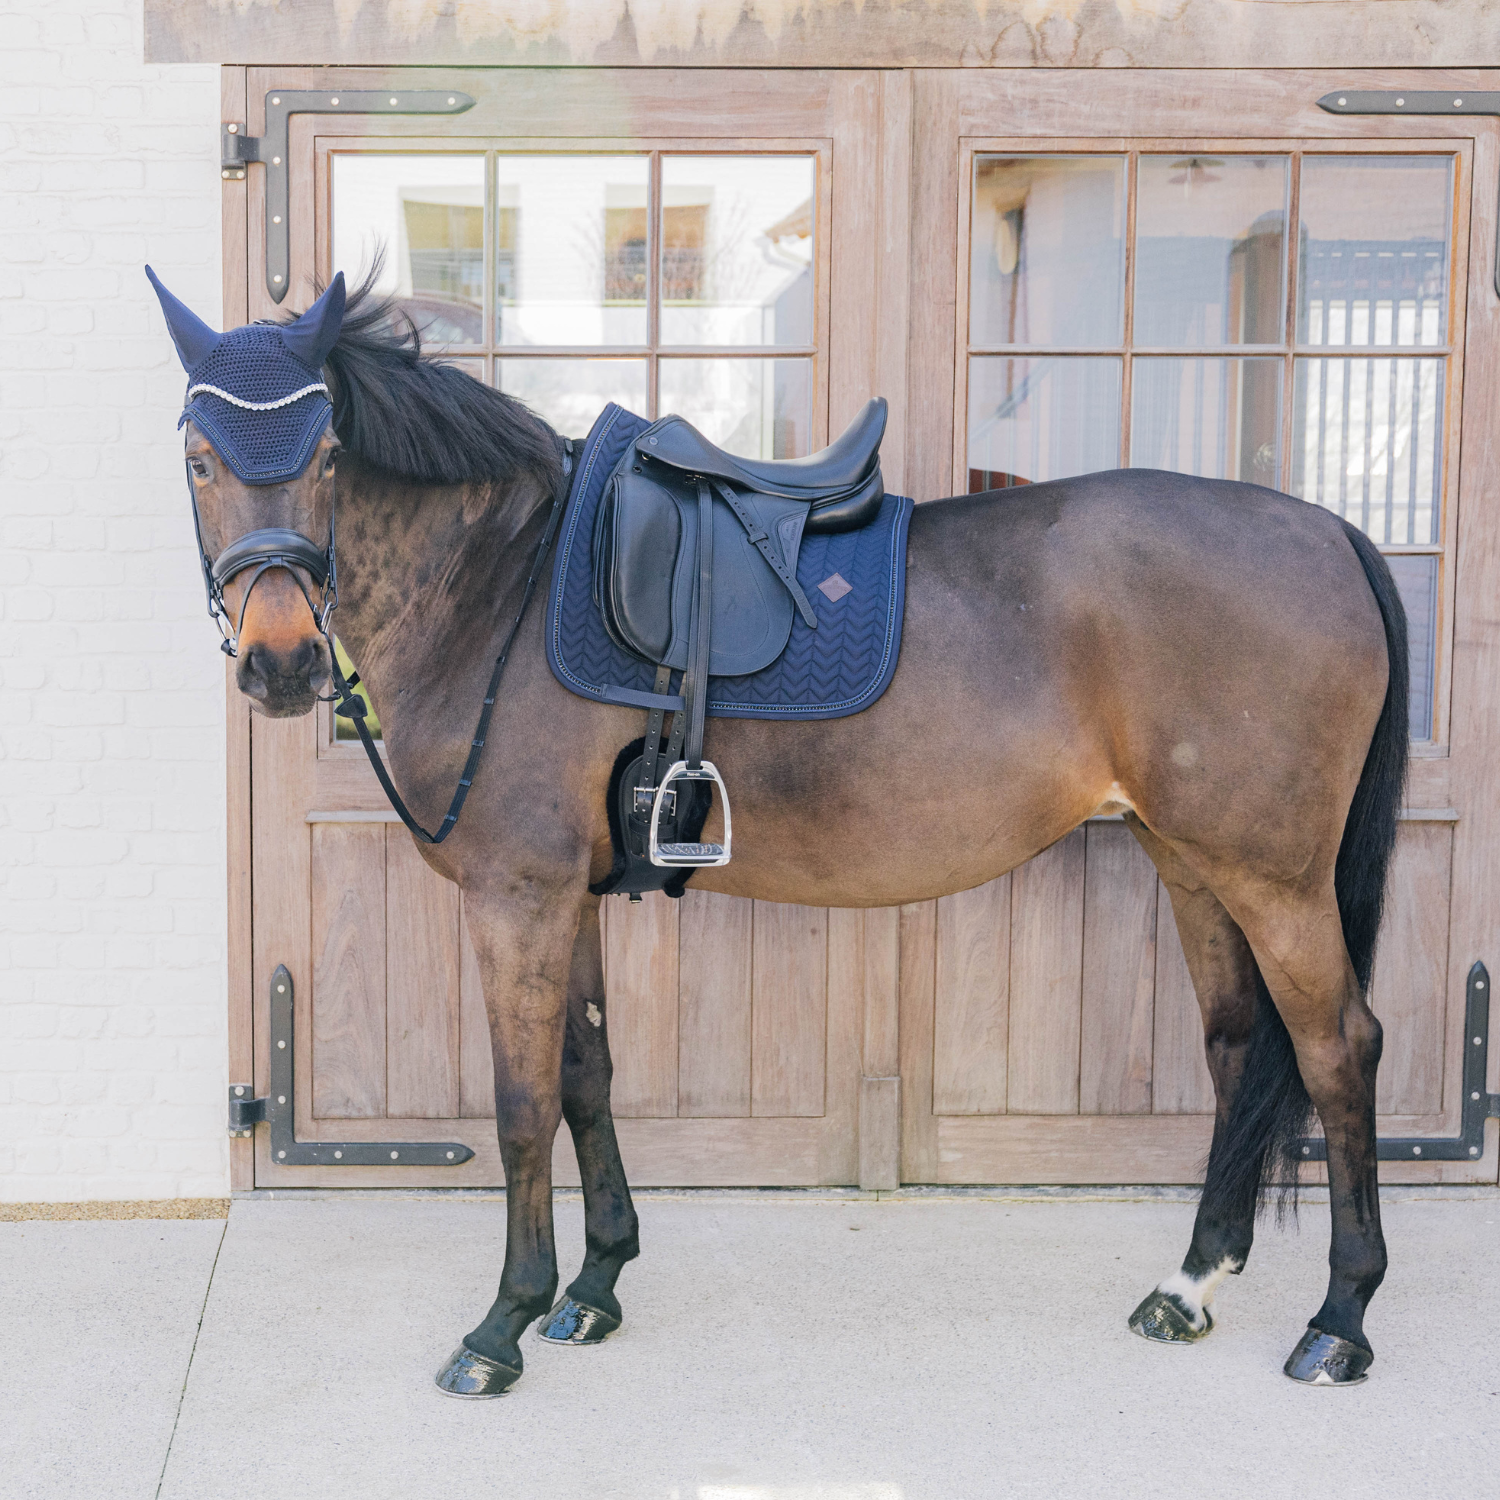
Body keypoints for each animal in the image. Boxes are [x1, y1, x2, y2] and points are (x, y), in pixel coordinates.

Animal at [152, 267, 1404, 1392]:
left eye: (323, 453)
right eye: (201, 457)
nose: (280, 663)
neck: (499, 585)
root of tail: (1332, 530)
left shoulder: (518, 896)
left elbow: (520, 1105)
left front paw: (503, 1322)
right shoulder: (568, 898)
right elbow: (589, 1074)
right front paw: (595, 1287)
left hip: (1277, 877)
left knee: (1339, 1046)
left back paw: (1340, 1321)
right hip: (1192, 859)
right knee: (1240, 1048)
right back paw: (1190, 1287)